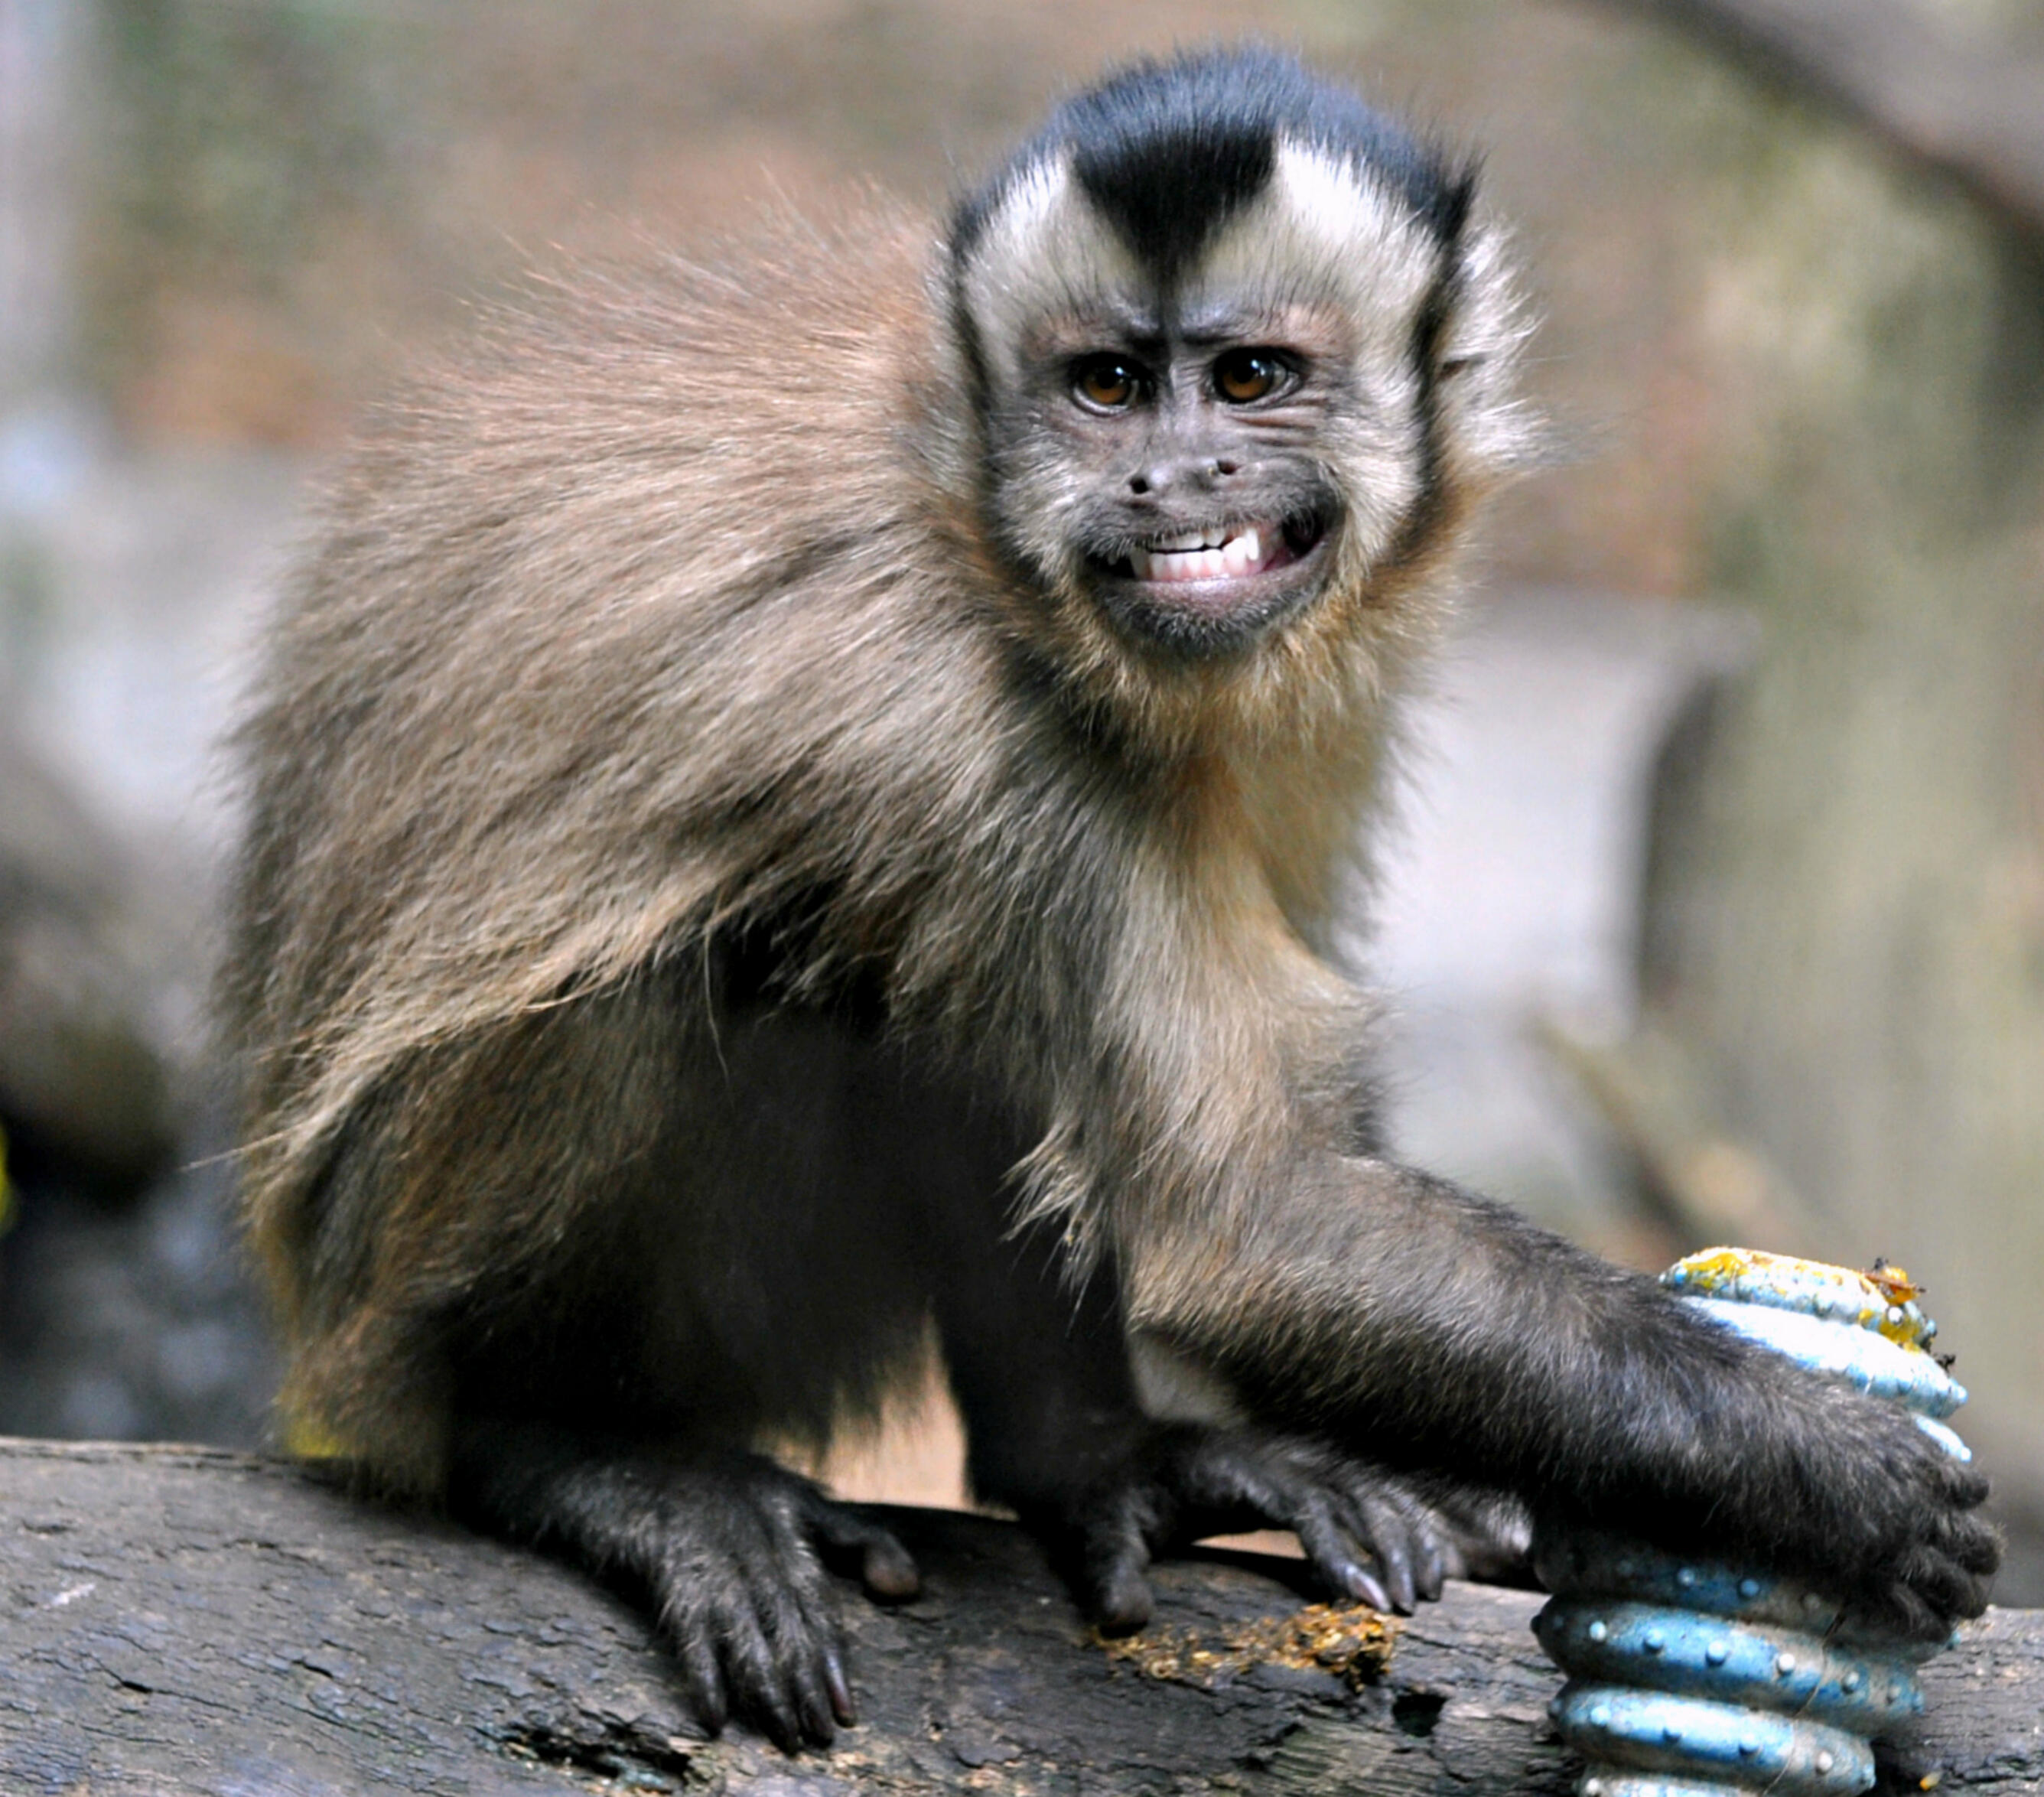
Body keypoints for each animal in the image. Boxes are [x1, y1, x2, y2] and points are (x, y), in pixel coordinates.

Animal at [223, 45, 1994, 1758]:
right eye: (1107, 387)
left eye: (1252, 380)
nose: (1171, 474)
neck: (990, 543)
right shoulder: (973, 718)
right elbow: (1234, 1214)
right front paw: (1814, 1462)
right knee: (724, 947)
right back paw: (557, 1439)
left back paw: (1087, 1462)